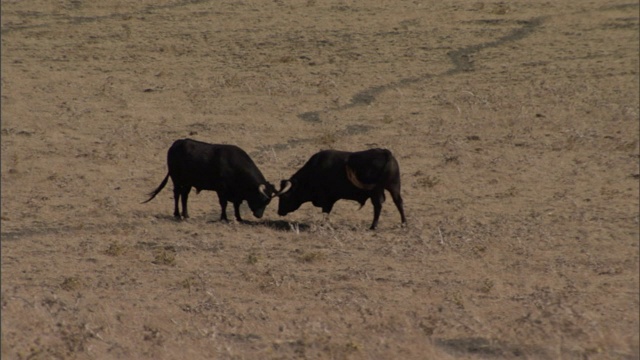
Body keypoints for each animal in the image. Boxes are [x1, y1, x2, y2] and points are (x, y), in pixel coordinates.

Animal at [142, 139, 276, 221]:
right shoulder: (221, 190)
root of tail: (176, 144)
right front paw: (224, 218)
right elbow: (224, 203)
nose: (259, 215)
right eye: (261, 199)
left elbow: (236, 205)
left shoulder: (235, 194)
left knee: (184, 196)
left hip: (187, 183)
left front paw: (238, 218)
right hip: (177, 180)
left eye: (267, 202)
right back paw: (177, 214)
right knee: (177, 194)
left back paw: (186, 215)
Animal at [276, 149, 404, 231]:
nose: (279, 212)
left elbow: (326, 211)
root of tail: (385, 152)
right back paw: (404, 223)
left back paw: (373, 226)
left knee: (378, 205)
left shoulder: (327, 200)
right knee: (398, 202)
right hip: (394, 187)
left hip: (376, 191)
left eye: (284, 196)